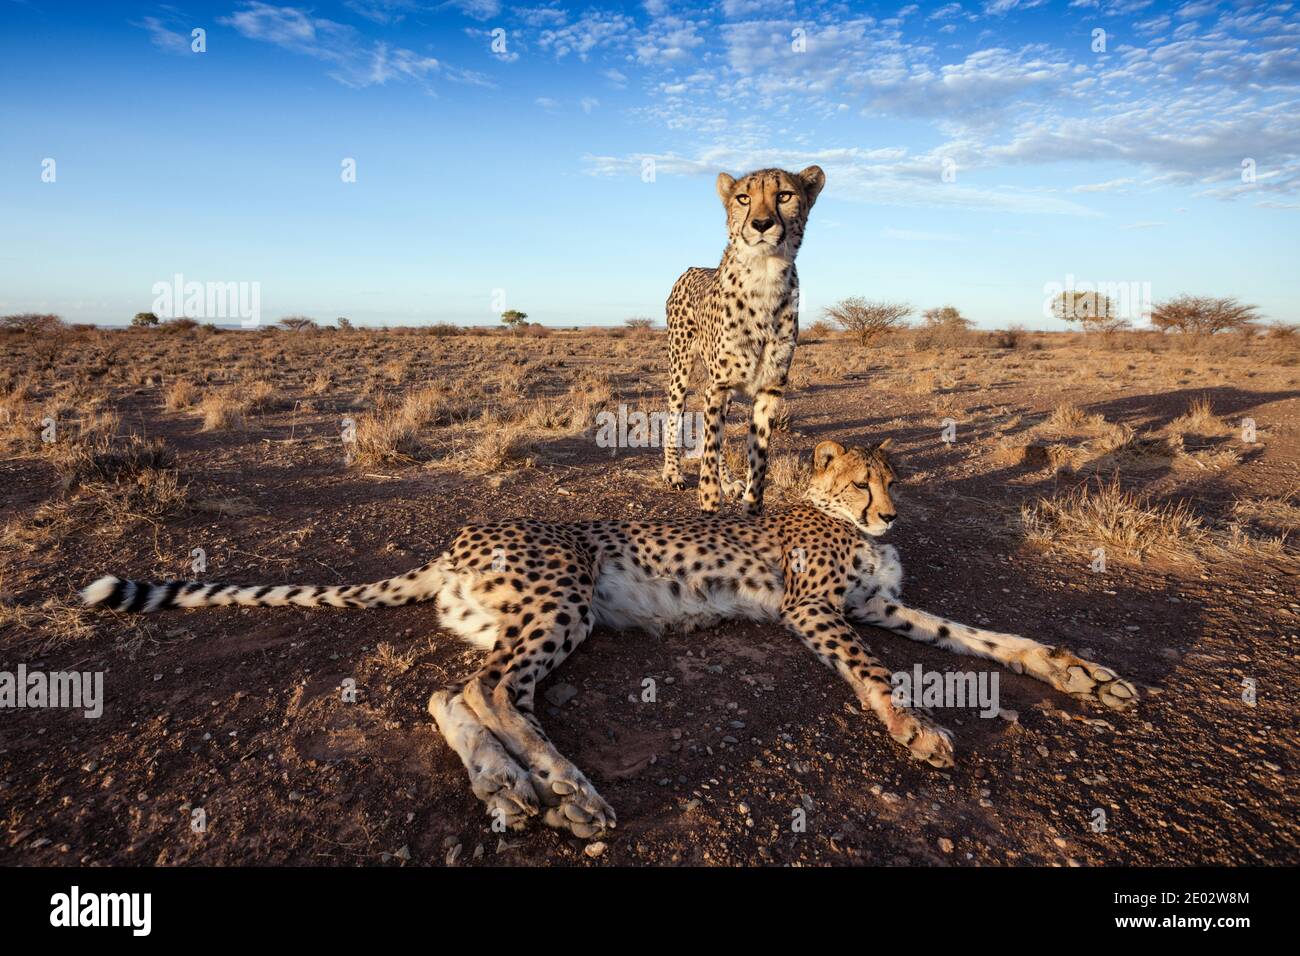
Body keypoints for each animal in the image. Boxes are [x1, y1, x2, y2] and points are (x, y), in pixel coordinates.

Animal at [80, 438, 1138, 839]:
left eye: (891, 480)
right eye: (856, 482)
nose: (883, 511)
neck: (845, 526)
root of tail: (457, 537)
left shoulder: (884, 607)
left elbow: (987, 635)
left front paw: (1084, 675)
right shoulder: (818, 613)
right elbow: (877, 672)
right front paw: (913, 729)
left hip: (521, 615)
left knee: (449, 690)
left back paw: (511, 788)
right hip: (564, 600)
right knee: (487, 691)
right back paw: (567, 793)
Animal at [662, 165, 826, 516]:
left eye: (784, 195)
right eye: (743, 198)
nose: (762, 224)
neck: (764, 276)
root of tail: (692, 267)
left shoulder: (768, 389)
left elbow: (758, 460)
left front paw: (751, 508)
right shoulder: (719, 384)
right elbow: (709, 452)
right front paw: (710, 503)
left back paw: (728, 481)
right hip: (681, 367)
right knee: (675, 415)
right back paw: (673, 473)